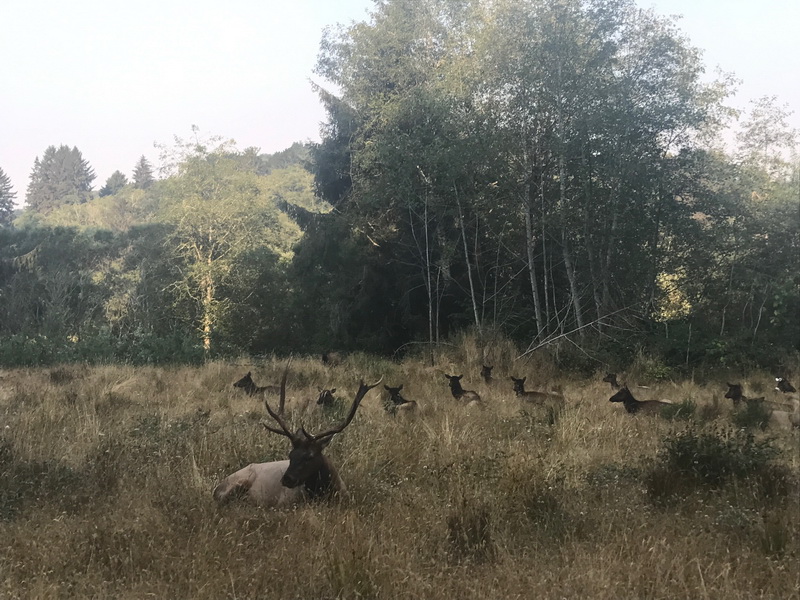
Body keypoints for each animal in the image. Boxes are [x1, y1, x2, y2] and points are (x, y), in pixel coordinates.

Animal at [214, 368, 382, 507]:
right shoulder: (284, 501)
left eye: (309, 456)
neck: (327, 493)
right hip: (236, 484)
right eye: (290, 455)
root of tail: (216, 488)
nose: (286, 479)